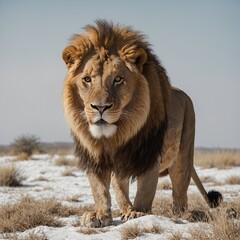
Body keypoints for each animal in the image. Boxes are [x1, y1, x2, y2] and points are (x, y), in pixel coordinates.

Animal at [61, 19, 221, 227]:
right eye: (87, 79)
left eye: (118, 79)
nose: (100, 107)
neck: (115, 136)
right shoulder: (95, 156)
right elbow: (99, 189)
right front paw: (100, 215)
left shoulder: (149, 154)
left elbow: (145, 189)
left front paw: (139, 213)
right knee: (120, 186)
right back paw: (126, 209)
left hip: (183, 153)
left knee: (180, 191)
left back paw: (181, 215)